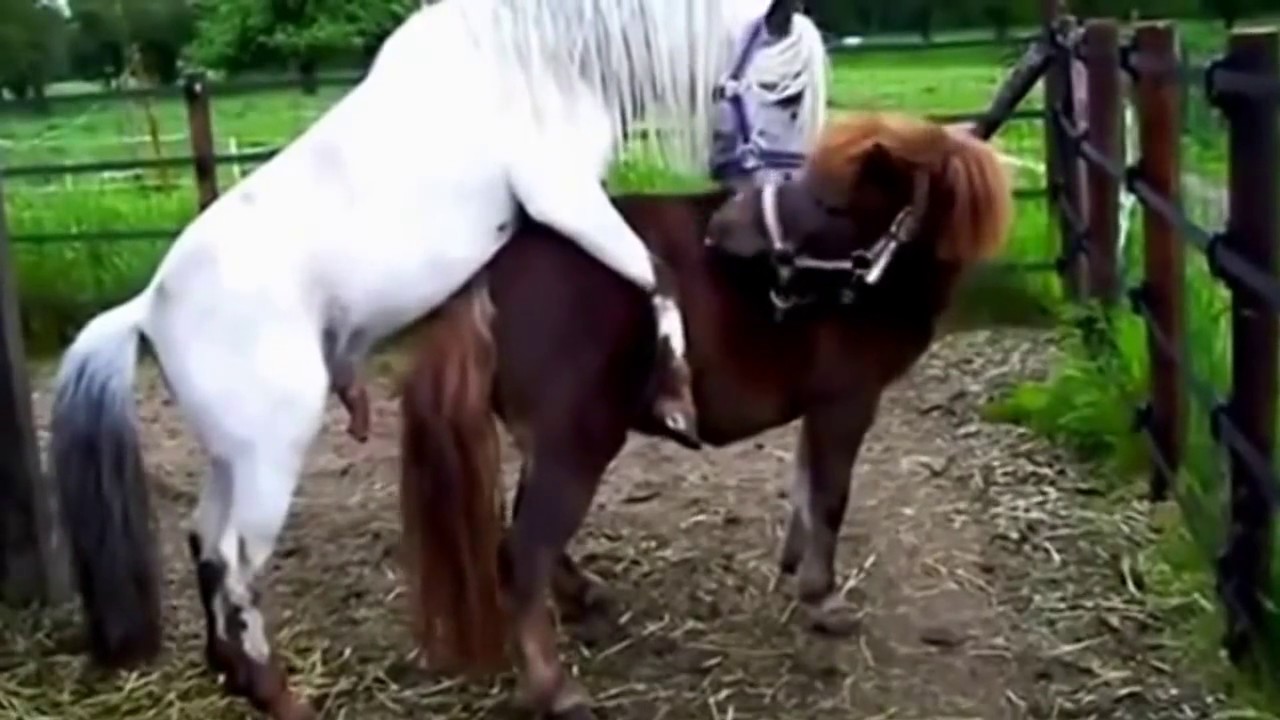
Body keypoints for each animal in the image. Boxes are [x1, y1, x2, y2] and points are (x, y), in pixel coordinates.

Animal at [47, 0, 829, 712]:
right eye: (787, 95)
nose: (782, 210)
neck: (543, 65)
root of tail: (147, 308)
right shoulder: (567, 199)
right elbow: (657, 274)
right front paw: (673, 395)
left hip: (231, 460)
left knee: (204, 544)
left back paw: (234, 675)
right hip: (270, 459)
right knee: (238, 566)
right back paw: (278, 694)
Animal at [399, 113, 1008, 717]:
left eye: (831, 202)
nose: (721, 228)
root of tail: (489, 275)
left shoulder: (821, 406)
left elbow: (806, 487)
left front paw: (795, 565)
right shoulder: (848, 400)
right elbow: (830, 498)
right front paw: (822, 598)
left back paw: (581, 596)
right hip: (577, 442)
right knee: (524, 553)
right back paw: (556, 688)